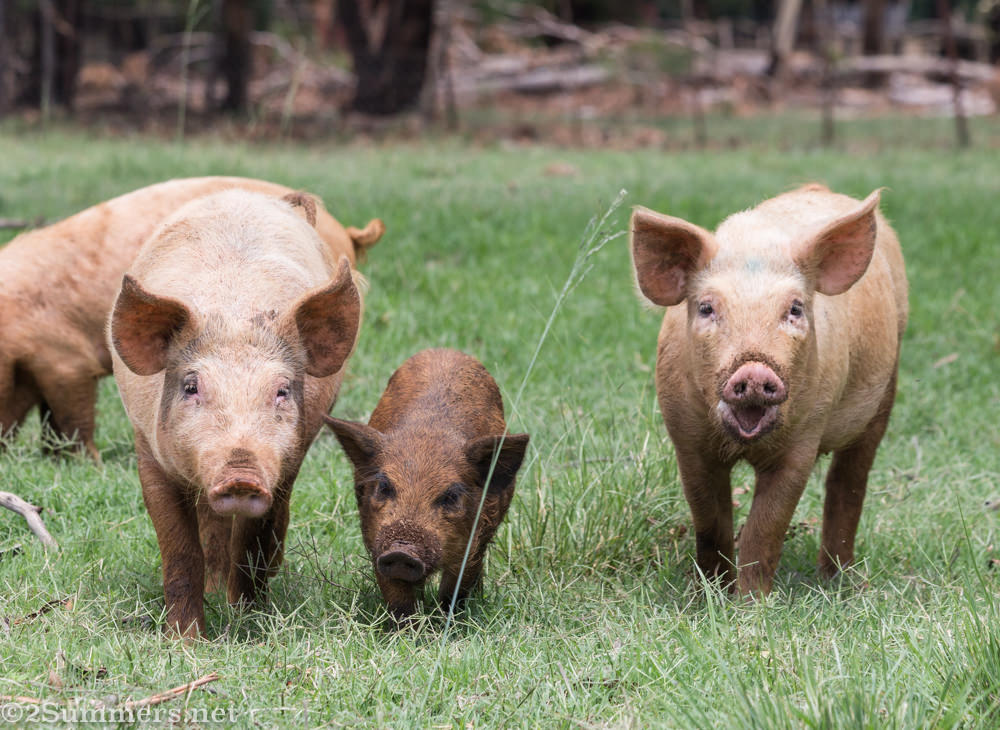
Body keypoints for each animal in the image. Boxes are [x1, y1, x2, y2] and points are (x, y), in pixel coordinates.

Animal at [109, 189, 368, 638]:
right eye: (191, 387)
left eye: (281, 390)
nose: (241, 475)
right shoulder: (147, 447)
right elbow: (179, 549)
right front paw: (186, 641)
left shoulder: (285, 462)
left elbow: (252, 541)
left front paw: (247, 619)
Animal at [325, 349, 530, 619]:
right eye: (384, 486)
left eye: (451, 495)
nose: (401, 551)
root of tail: (446, 350)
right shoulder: (376, 537)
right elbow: (398, 597)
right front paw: (406, 627)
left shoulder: (472, 543)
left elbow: (454, 590)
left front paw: (448, 622)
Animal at [630, 184, 908, 596]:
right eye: (707, 308)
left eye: (794, 309)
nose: (755, 370)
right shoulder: (685, 436)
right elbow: (709, 521)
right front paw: (711, 593)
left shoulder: (804, 439)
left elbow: (766, 527)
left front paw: (751, 602)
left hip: (886, 387)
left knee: (849, 481)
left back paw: (837, 580)